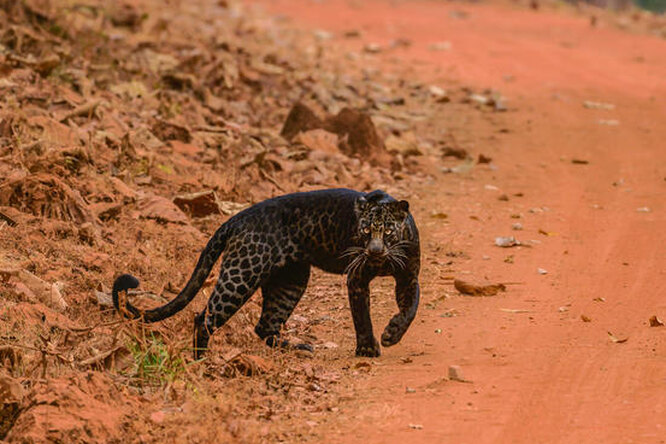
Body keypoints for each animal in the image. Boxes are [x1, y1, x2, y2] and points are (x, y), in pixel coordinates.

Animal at [111, 187, 418, 358]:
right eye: (364, 230)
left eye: (387, 231)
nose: (375, 251)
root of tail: (237, 218)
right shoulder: (356, 279)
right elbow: (362, 315)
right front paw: (368, 348)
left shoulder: (408, 278)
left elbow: (410, 309)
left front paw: (392, 334)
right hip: (242, 274)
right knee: (204, 318)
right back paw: (202, 362)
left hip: (291, 279)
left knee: (265, 325)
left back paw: (299, 349)